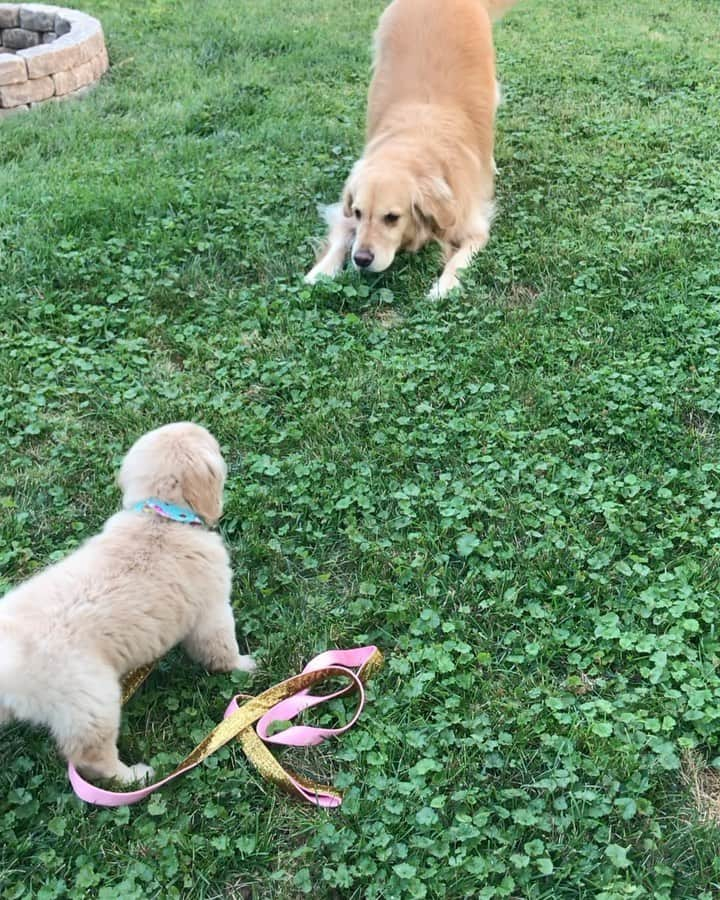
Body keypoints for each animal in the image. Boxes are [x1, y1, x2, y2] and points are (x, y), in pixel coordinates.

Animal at [0, 426, 253, 784]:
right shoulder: (211, 610)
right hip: (94, 700)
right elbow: (220, 648)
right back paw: (135, 776)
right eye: (215, 448)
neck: (160, 517)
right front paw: (243, 665)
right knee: (91, 758)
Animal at [304, 0, 516, 298]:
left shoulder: (473, 224)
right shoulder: (345, 212)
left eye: (392, 218)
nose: (362, 259)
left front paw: (444, 286)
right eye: (358, 213)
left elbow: (461, 258)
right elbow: (341, 238)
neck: (412, 144)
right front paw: (321, 270)